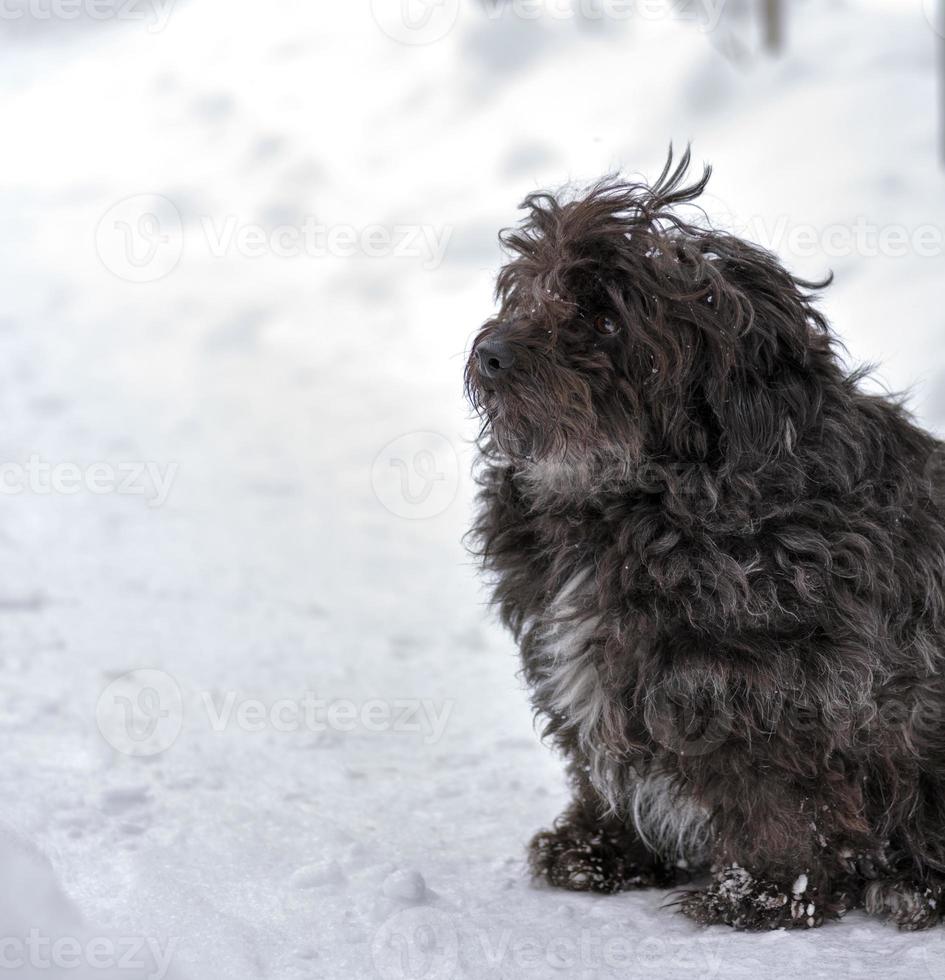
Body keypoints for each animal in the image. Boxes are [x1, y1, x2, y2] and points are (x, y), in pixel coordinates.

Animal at [468, 149, 944, 932]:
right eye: (532, 291)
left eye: (605, 318)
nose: (493, 354)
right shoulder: (595, 667)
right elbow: (599, 761)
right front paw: (597, 848)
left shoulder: (774, 689)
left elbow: (782, 798)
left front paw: (765, 891)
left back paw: (911, 884)